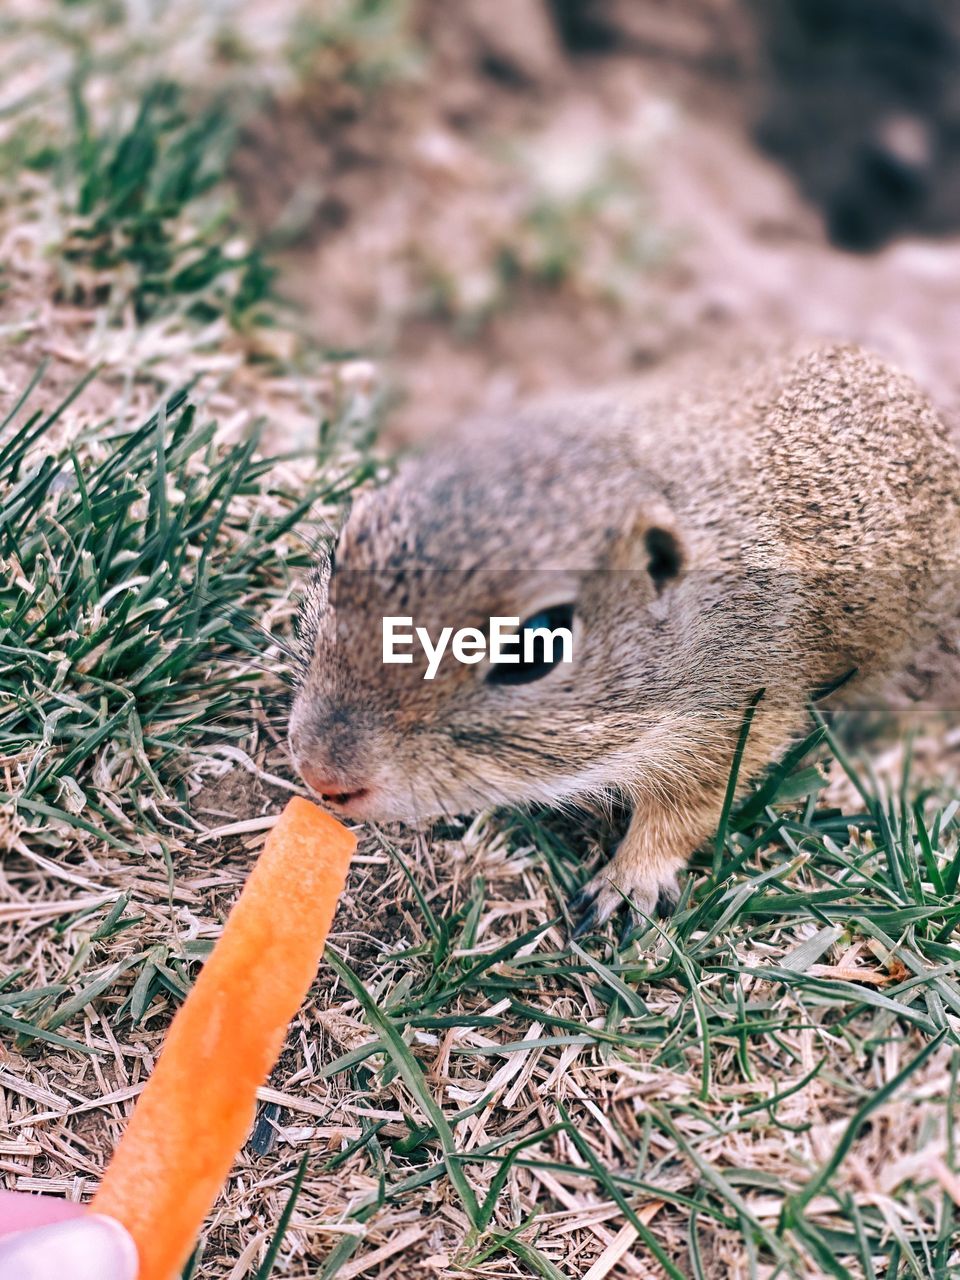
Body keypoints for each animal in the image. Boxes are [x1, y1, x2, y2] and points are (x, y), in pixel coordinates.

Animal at [289, 345, 960, 936]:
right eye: (341, 549)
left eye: (537, 645)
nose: (321, 774)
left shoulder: (737, 718)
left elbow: (685, 813)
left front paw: (626, 885)